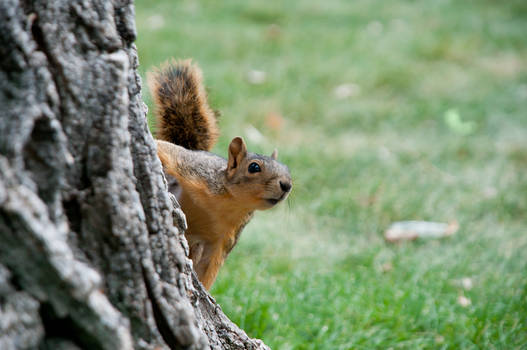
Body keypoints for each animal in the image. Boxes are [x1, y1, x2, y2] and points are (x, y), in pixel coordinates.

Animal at [148, 60, 292, 290]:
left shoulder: (223, 240)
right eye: (254, 167)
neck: (231, 203)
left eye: (288, 170)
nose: (287, 185)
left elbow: (209, 268)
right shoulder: (196, 170)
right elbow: (171, 151)